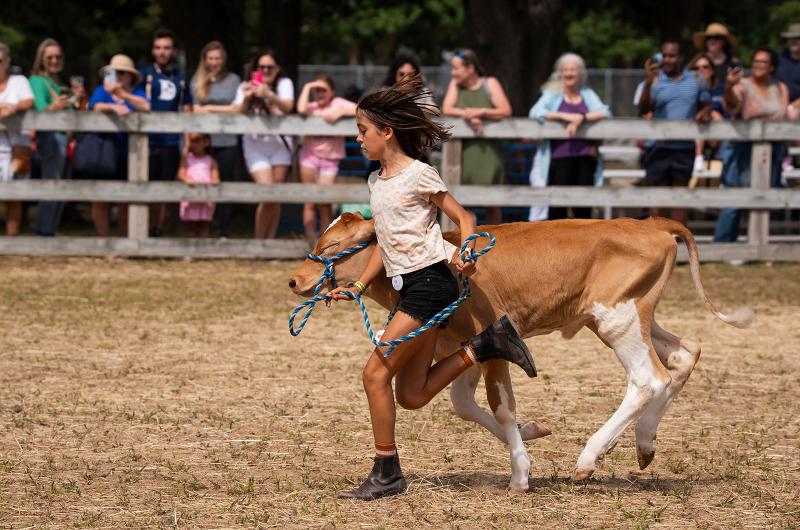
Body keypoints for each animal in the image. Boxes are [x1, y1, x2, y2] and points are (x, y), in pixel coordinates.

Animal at [288, 213, 752, 492]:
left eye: (330, 248)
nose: (294, 281)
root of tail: (648, 223)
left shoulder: (490, 340)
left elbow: (501, 405)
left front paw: (519, 474)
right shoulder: (465, 345)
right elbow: (462, 403)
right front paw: (530, 434)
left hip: (616, 319)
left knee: (649, 378)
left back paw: (588, 459)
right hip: (636, 316)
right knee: (685, 354)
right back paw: (644, 443)